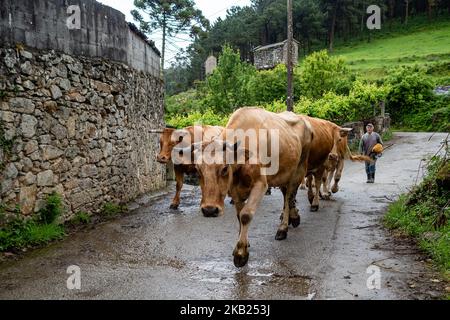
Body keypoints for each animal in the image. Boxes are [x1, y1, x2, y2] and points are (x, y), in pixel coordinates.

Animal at [176, 107, 312, 268]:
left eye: (224, 168)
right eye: (197, 170)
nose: (209, 210)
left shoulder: (261, 184)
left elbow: (246, 215)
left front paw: (241, 253)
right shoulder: (235, 190)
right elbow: (239, 216)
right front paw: (244, 244)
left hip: (298, 171)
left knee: (289, 196)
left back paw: (283, 228)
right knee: (287, 196)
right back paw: (293, 218)